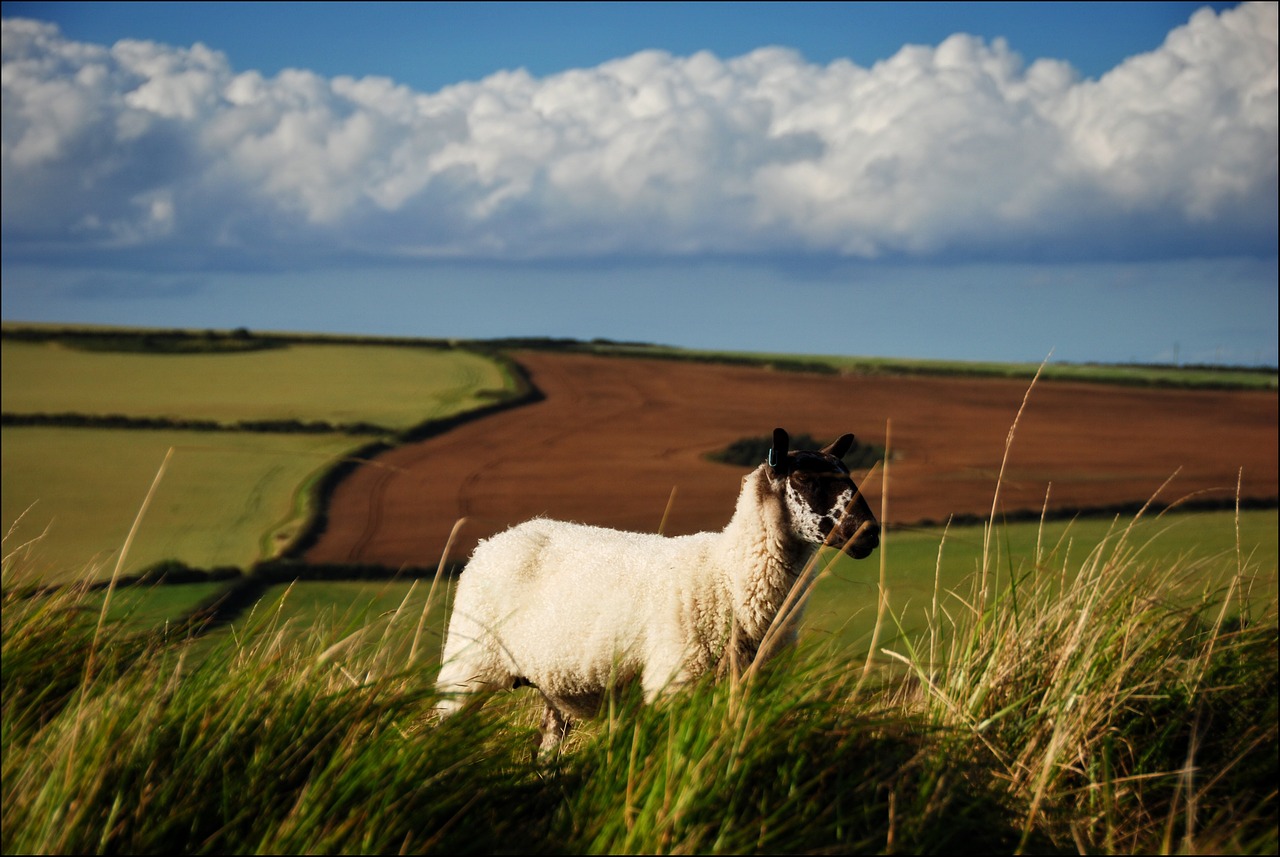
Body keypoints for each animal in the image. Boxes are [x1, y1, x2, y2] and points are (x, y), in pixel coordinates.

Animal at [435, 427, 875, 752]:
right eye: (804, 480)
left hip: (548, 682)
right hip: (466, 666)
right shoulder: (674, 685)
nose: (869, 532)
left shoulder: (752, 689)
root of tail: (496, 539)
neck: (727, 576)